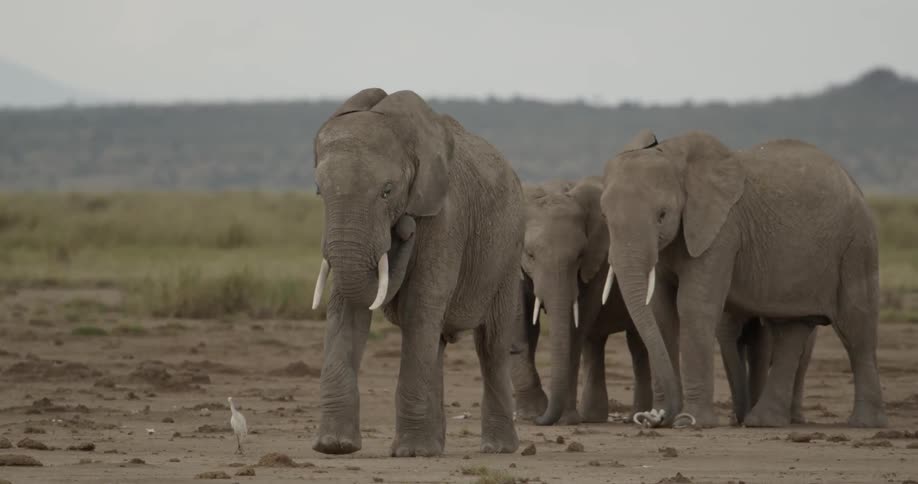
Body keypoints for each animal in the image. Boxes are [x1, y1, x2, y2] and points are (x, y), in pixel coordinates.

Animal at [310, 88, 524, 456]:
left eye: (387, 191)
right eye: (319, 192)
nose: (406, 228)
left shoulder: (446, 217)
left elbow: (419, 305)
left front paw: (410, 453)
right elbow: (347, 309)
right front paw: (334, 446)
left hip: (508, 251)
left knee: (491, 345)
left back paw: (496, 448)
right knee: (435, 342)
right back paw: (435, 447)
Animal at [510, 177, 673, 426]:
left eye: (579, 255)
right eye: (529, 255)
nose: (540, 418)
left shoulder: (597, 261)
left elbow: (577, 323)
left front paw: (563, 420)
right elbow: (520, 323)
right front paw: (531, 413)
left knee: (635, 344)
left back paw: (630, 416)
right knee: (596, 341)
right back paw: (593, 417)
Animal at [597, 129, 886, 428]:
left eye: (662, 215)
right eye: (604, 215)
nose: (652, 418)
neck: (674, 156)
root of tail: (853, 183)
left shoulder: (723, 230)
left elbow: (693, 308)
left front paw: (691, 421)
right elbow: (661, 313)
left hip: (857, 245)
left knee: (856, 328)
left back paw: (864, 423)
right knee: (792, 328)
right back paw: (763, 421)